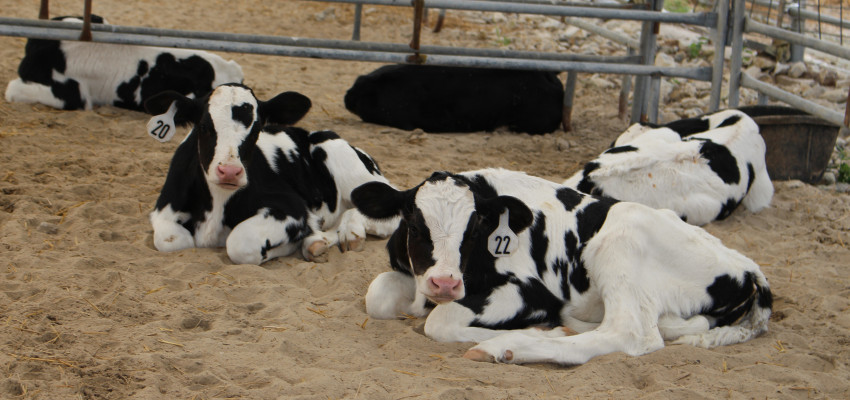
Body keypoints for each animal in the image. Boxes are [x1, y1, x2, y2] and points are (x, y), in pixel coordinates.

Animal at [147, 83, 400, 266]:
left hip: (340, 156)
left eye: (257, 129)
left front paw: (293, 243)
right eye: (203, 127)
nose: (229, 172)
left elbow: (240, 243)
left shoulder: (293, 208)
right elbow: (172, 241)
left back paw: (345, 234)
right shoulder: (164, 210)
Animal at [352, 169, 768, 366]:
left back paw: (508, 346)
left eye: (473, 228)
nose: (444, 283)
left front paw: (532, 330)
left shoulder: (530, 291)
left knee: (630, 334)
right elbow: (378, 296)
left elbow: (439, 323)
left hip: (620, 238)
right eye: (414, 225)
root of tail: (747, 266)